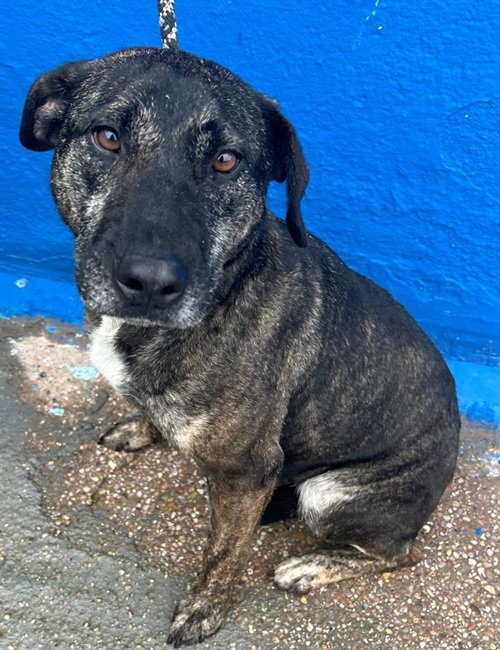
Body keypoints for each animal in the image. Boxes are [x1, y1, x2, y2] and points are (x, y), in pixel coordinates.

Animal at [20, 47, 460, 646]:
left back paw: (312, 566)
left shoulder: (247, 471)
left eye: (226, 161)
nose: (151, 282)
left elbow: (224, 553)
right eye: (107, 137)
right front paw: (141, 428)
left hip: (333, 495)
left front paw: (204, 610)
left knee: (401, 553)